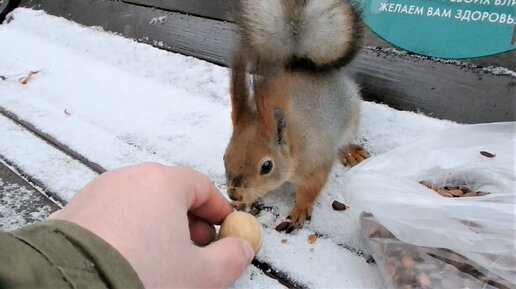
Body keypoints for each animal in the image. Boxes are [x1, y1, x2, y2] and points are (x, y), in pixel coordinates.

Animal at [224, 0, 368, 230]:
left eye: (266, 166)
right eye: (225, 155)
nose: (234, 194)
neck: (295, 143)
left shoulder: (315, 163)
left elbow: (311, 189)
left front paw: (300, 210)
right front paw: (242, 203)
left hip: (351, 118)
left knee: (344, 141)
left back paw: (349, 151)